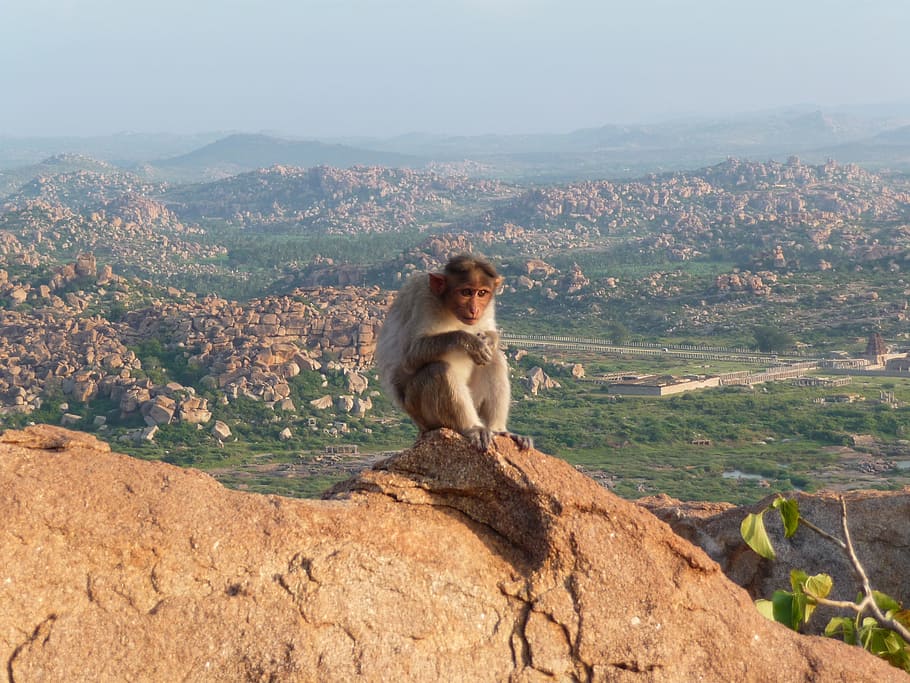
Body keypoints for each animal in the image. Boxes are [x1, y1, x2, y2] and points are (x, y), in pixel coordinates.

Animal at [375, 254, 533, 452]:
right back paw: (471, 427)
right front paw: (470, 342)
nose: (474, 309)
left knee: (494, 359)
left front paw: (489, 339)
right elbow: (410, 357)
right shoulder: (424, 298)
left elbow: (489, 333)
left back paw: (498, 430)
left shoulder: (488, 306)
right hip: (420, 411)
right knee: (439, 370)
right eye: (466, 292)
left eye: (482, 293)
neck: (448, 306)